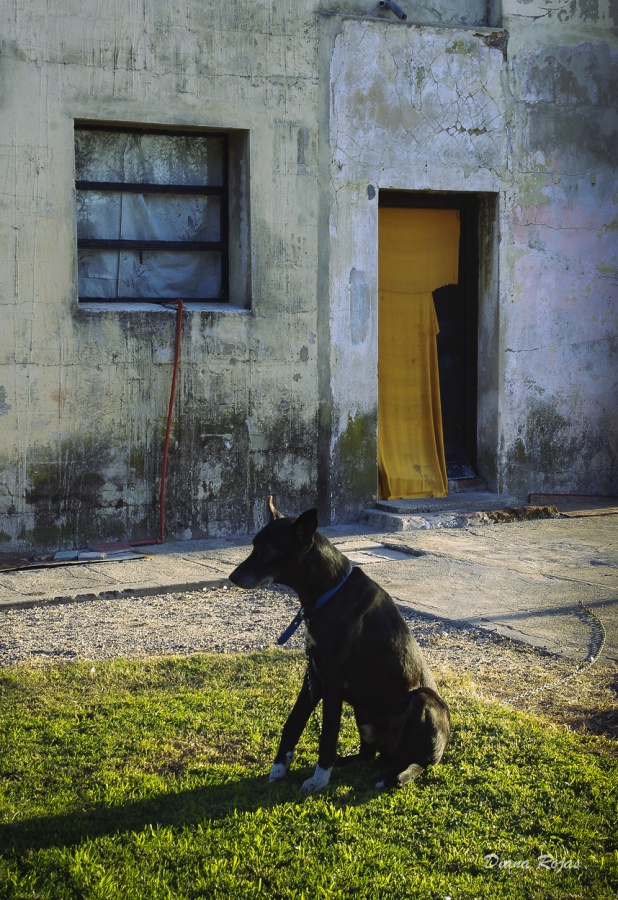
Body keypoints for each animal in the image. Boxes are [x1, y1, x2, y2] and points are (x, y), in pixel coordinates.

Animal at [227, 502, 448, 792]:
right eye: (255, 545)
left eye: (269, 549)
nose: (232, 577)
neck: (327, 593)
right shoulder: (313, 674)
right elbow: (293, 722)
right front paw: (279, 769)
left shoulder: (332, 680)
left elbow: (328, 733)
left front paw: (320, 778)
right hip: (363, 714)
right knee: (368, 755)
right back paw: (351, 762)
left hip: (424, 702)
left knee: (416, 762)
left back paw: (394, 776)